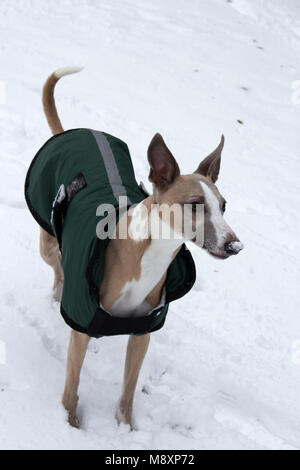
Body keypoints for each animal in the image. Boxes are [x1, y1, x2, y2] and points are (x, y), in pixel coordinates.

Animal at [38, 66, 243, 430]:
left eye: (223, 205)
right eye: (194, 204)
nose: (235, 245)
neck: (149, 256)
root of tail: (72, 132)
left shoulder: (141, 335)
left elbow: (128, 394)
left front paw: (126, 429)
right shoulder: (84, 326)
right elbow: (71, 388)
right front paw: (69, 425)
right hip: (47, 245)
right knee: (58, 269)